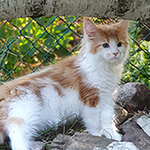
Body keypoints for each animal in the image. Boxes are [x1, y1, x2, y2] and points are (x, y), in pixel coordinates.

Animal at [0, 17, 129, 149]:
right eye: (105, 45)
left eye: (119, 44)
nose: (115, 53)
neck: (106, 68)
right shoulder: (90, 99)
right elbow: (93, 121)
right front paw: (97, 135)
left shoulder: (107, 97)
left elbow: (107, 118)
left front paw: (112, 135)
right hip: (26, 108)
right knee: (14, 128)